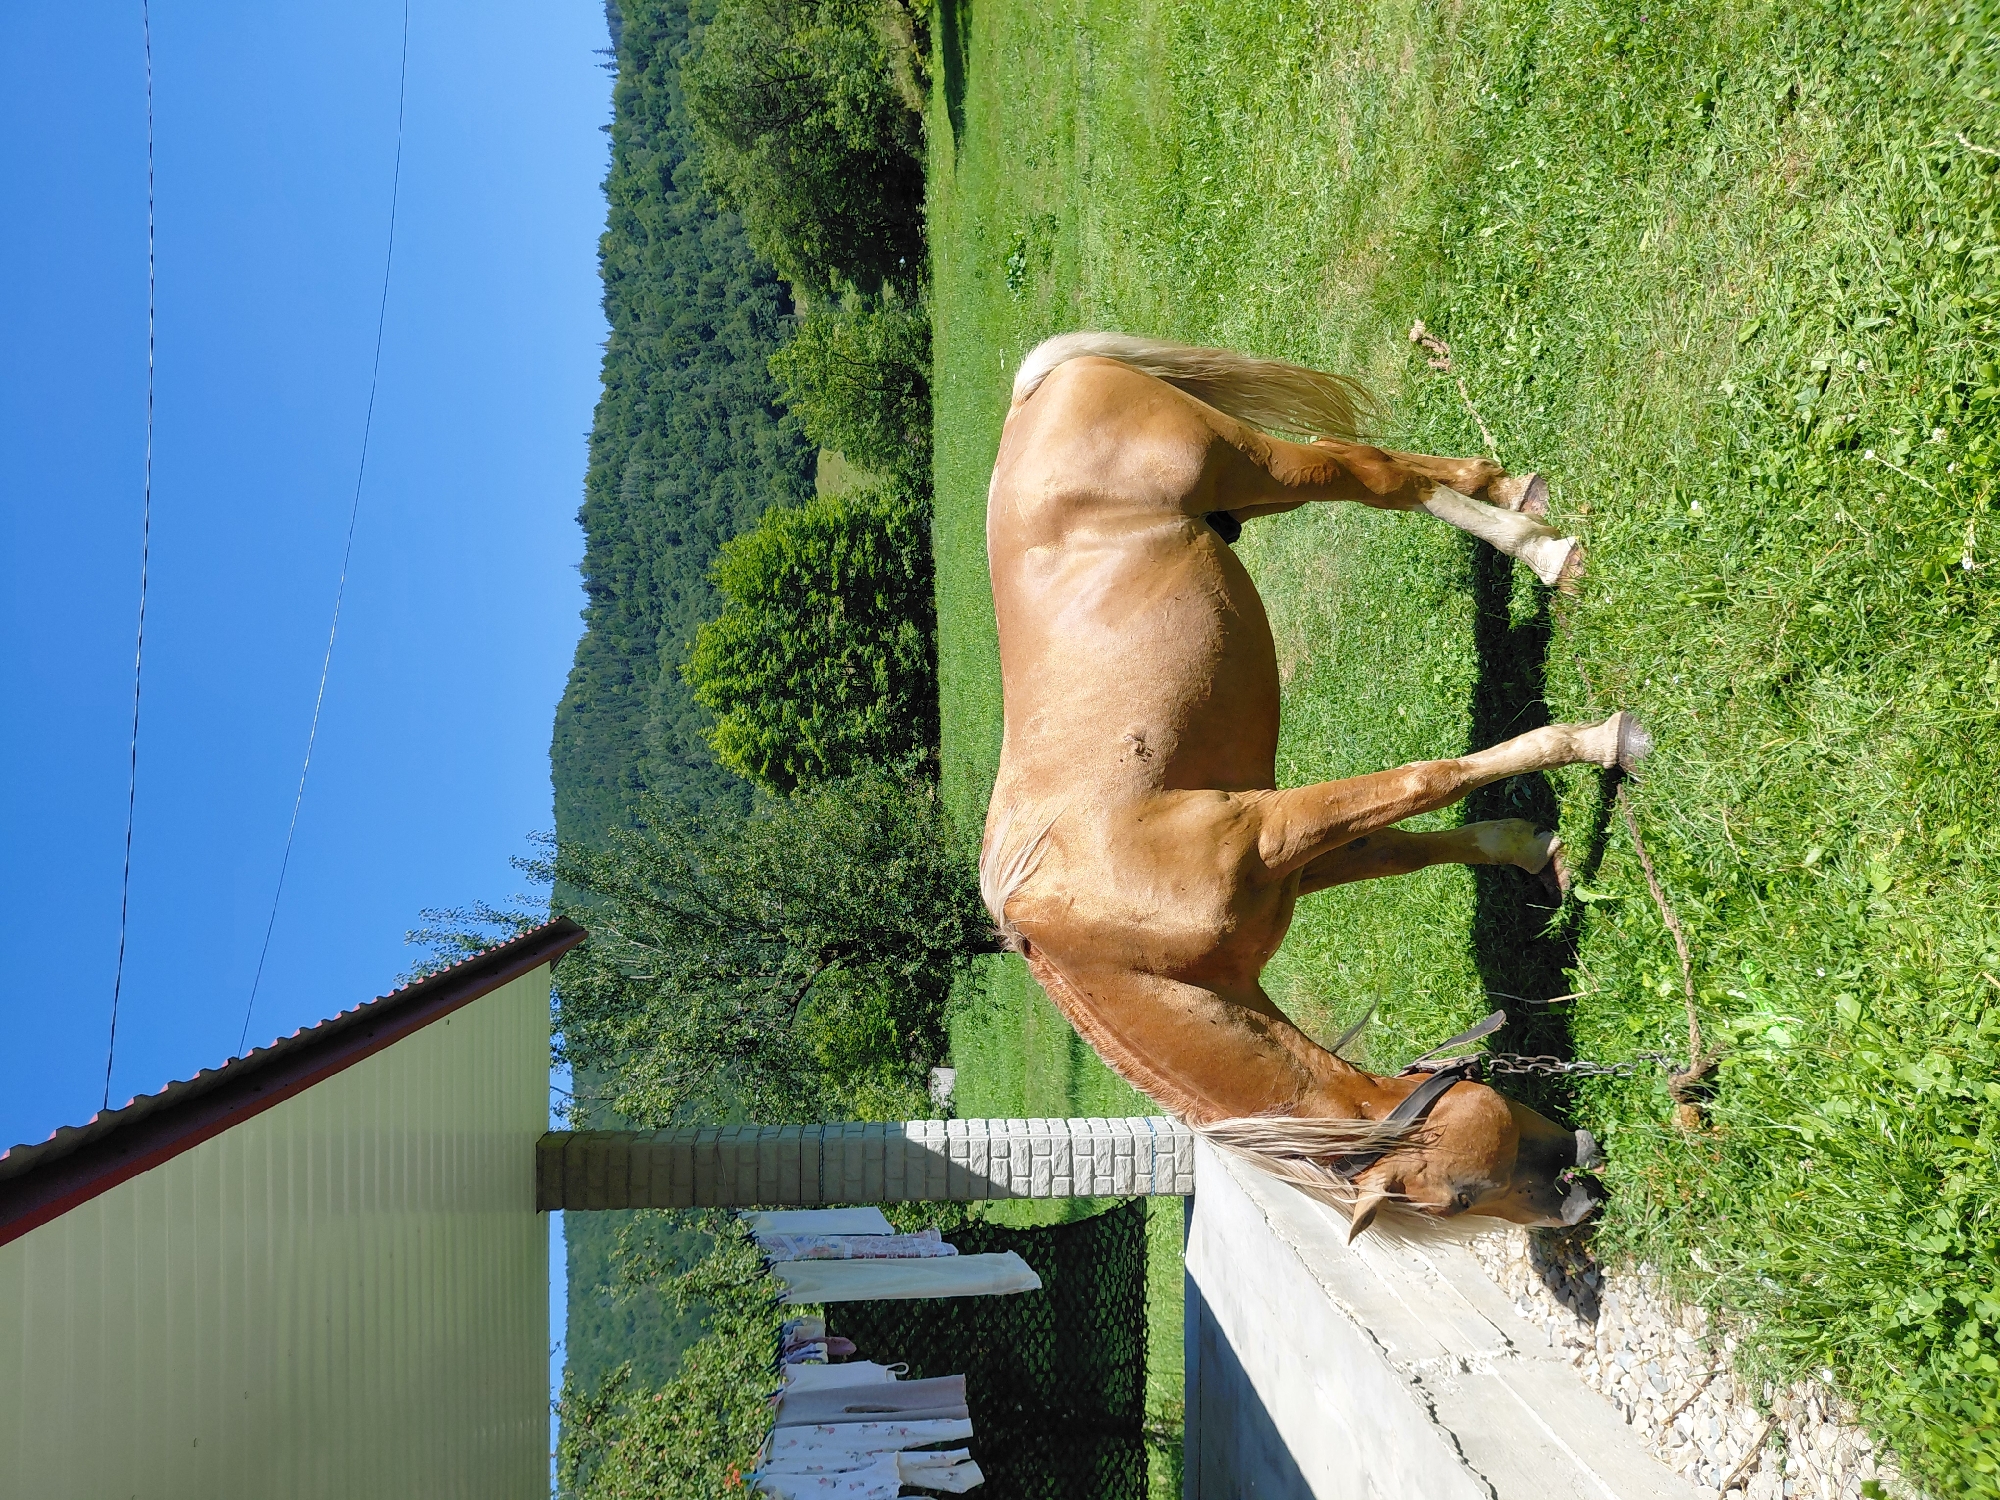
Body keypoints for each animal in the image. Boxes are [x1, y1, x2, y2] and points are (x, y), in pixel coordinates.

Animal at [979, 333, 1650, 1240]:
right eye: (1460, 1198)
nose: (1577, 1198)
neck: (1115, 929)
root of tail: (1033, 396)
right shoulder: (1297, 859)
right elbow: (1407, 845)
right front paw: (1531, 850)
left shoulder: (1273, 830)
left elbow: (1428, 778)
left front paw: (1601, 741)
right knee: (1383, 473)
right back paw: (1506, 490)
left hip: (1256, 465)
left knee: (1372, 474)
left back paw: (1543, 550)